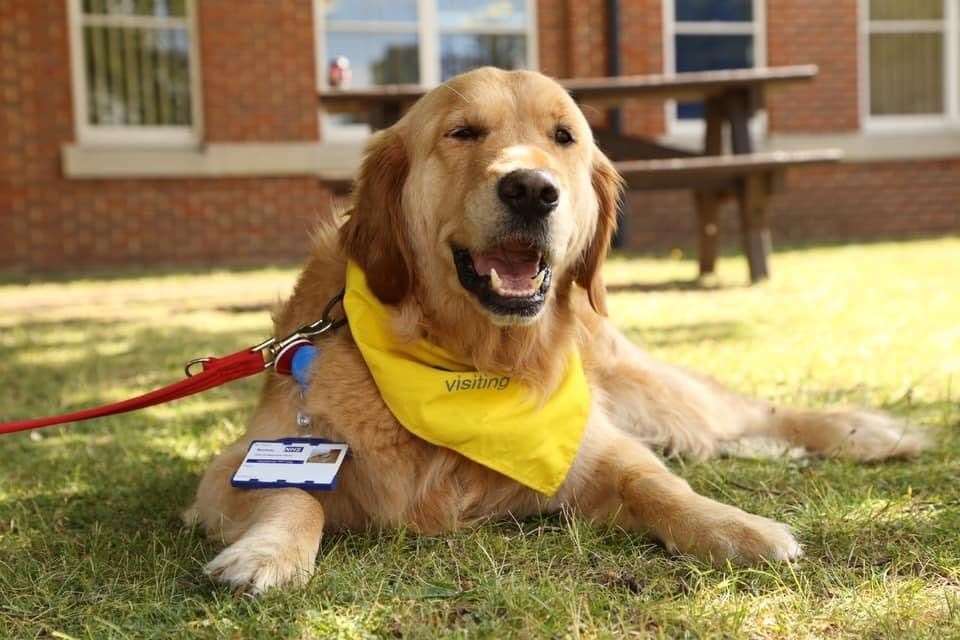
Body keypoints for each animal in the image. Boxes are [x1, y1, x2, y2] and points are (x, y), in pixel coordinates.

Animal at [184, 67, 928, 592]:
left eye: (563, 137)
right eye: (462, 132)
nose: (532, 190)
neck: (475, 362)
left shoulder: (587, 445)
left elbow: (658, 484)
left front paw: (736, 527)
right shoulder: (240, 461)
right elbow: (292, 496)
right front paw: (266, 553)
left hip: (647, 389)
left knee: (748, 413)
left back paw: (865, 432)